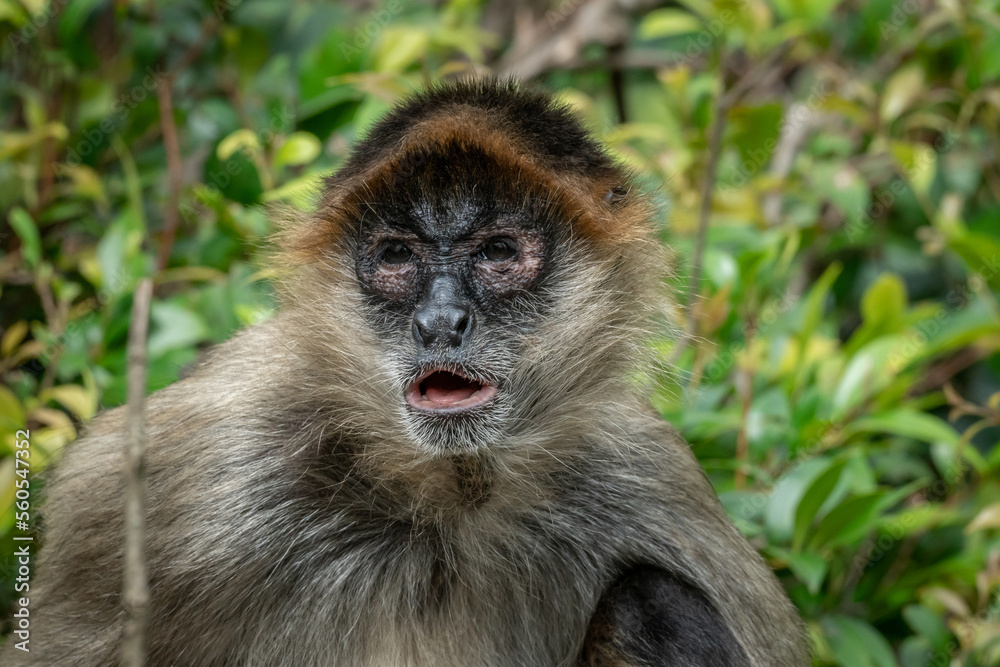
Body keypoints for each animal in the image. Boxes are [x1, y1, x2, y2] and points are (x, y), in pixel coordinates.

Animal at [3, 79, 809, 666]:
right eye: (396, 257)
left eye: (496, 253)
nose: (440, 322)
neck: (444, 500)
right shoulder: (196, 462)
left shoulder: (644, 473)